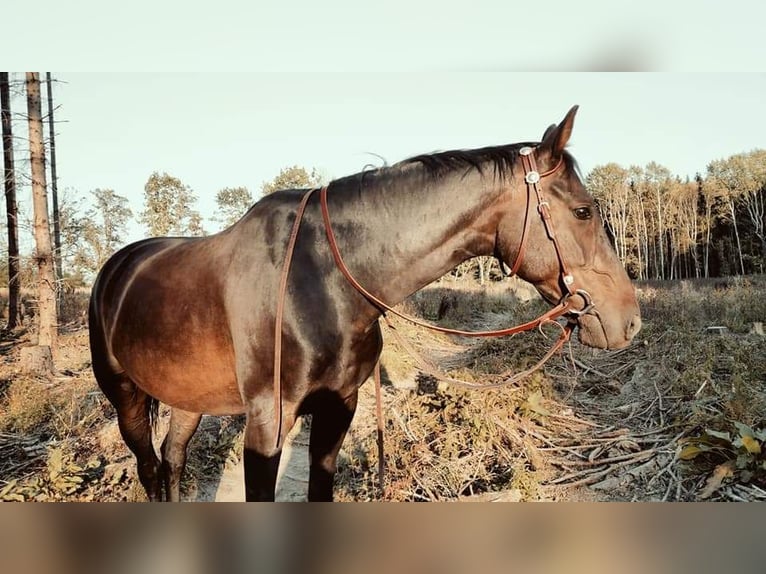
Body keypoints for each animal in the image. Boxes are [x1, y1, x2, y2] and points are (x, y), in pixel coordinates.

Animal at [88, 106, 640, 502]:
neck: (323, 279)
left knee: (172, 459)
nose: (628, 320)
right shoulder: (267, 424)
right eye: (584, 211)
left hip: (187, 397)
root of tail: (117, 267)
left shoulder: (340, 408)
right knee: (149, 468)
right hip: (125, 396)